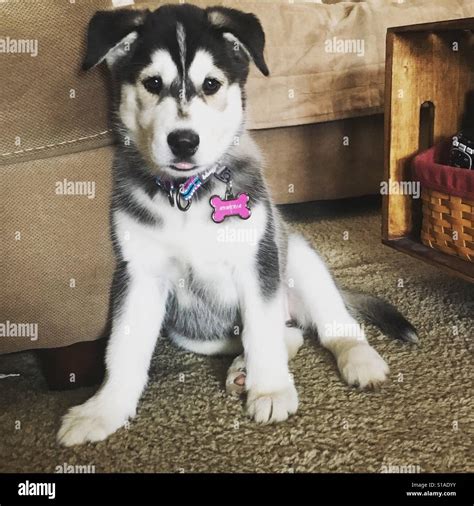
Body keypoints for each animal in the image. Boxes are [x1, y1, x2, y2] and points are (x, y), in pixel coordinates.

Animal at [57, 4, 416, 446]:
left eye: (211, 84)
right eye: (152, 83)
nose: (183, 141)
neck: (186, 196)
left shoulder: (257, 261)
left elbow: (261, 332)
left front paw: (271, 390)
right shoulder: (141, 273)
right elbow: (123, 349)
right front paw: (103, 410)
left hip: (297, 257)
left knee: (330, 325)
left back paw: (358, 359)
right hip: (191, 332)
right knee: (288, 332)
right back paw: (243, 368)